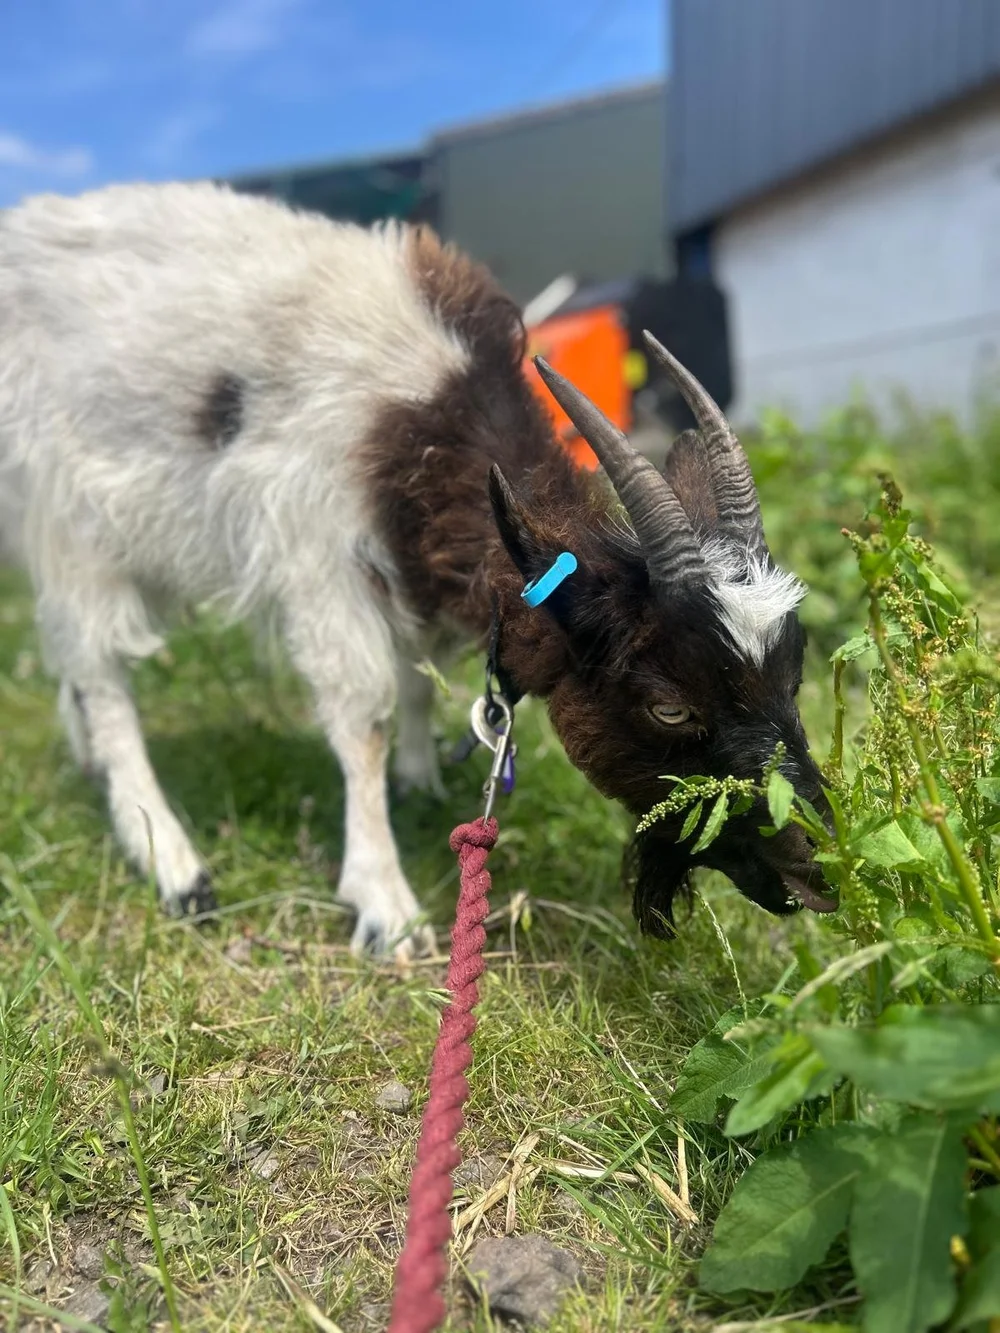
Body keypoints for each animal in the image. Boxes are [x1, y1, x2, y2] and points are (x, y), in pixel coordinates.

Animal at [0, 180, 835, 959]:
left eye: (794, 674)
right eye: (668, 705)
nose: (820, 863)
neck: (423, 415)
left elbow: (413, 680)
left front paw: (419, 779)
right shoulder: (319, 550)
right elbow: (363, 713)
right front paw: (385, 904)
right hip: (68, 515)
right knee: (101, 673)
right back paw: (173, 863)